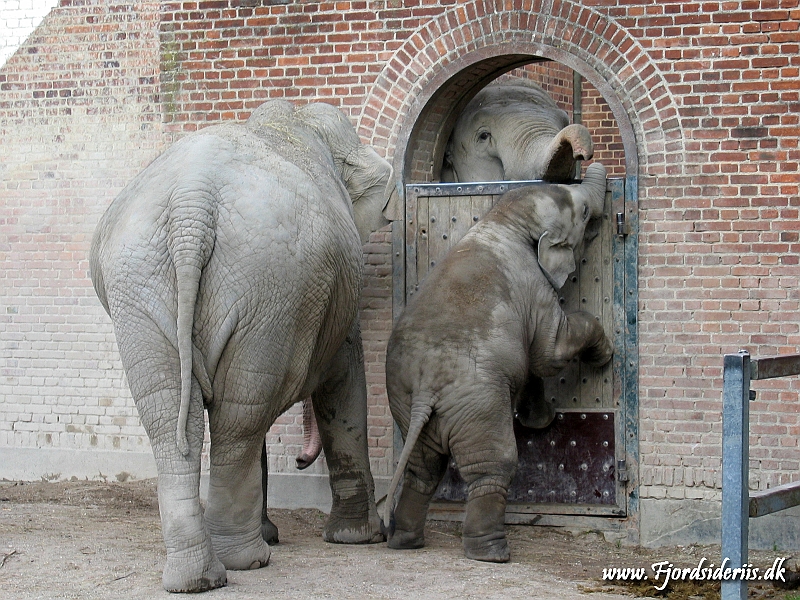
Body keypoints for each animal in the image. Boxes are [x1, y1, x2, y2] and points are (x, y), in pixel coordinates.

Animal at [90, 101, 390, 592]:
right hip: (268, 285)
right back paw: (246, 560)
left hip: (149, 285)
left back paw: (200, 576)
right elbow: (344, 382)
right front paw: (360, 539)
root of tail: (191, 204)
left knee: (178, 415)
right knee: (240, 417)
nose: (302, 462)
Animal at [384, 163, 616, 564]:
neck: (506, 221)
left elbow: (535, 365)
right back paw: (493, 553)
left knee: (421, 468)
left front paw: (542, 421)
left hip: (402, 398)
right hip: (478, 404)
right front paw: (605, 356)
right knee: (492, 465)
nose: (589, 165)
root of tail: (425, 387)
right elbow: (550, 353)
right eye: (584, 212)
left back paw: (405, 541)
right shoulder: (536, 289)